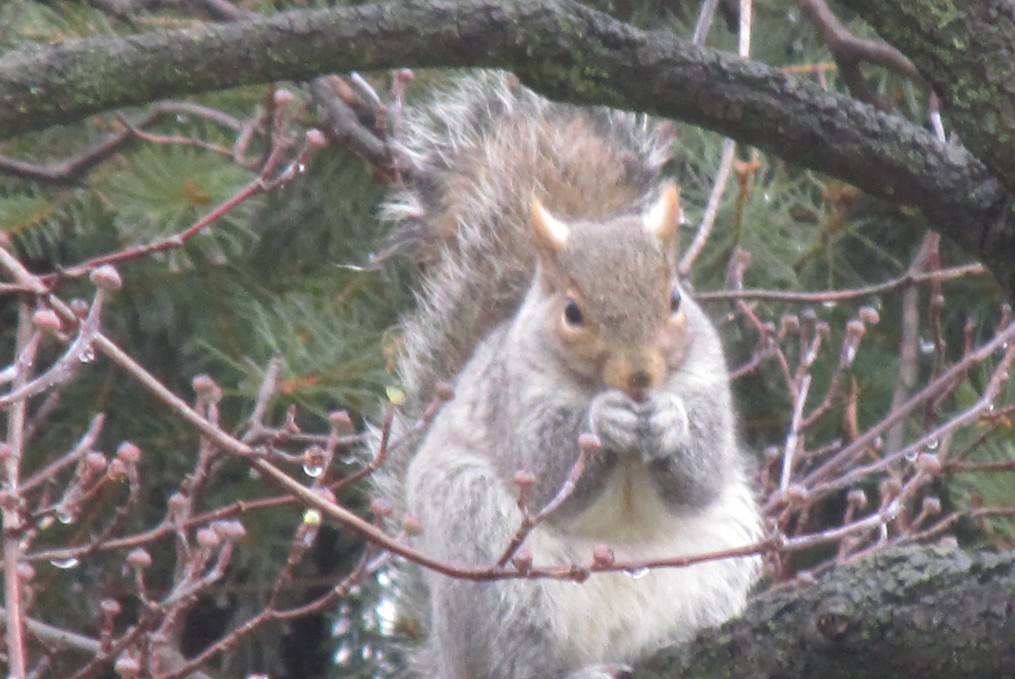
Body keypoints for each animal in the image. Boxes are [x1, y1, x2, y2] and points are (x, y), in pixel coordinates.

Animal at [374, 72, 763, 679]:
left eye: (675, 299)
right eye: (573, 313)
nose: (640, 375)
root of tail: (446, 655)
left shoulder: (708, 382)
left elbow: (699, 477)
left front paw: (670, 422)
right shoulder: (516, 401)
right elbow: (548, 471)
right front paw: (603, 421)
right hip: (491, 556)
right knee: (518, 662)